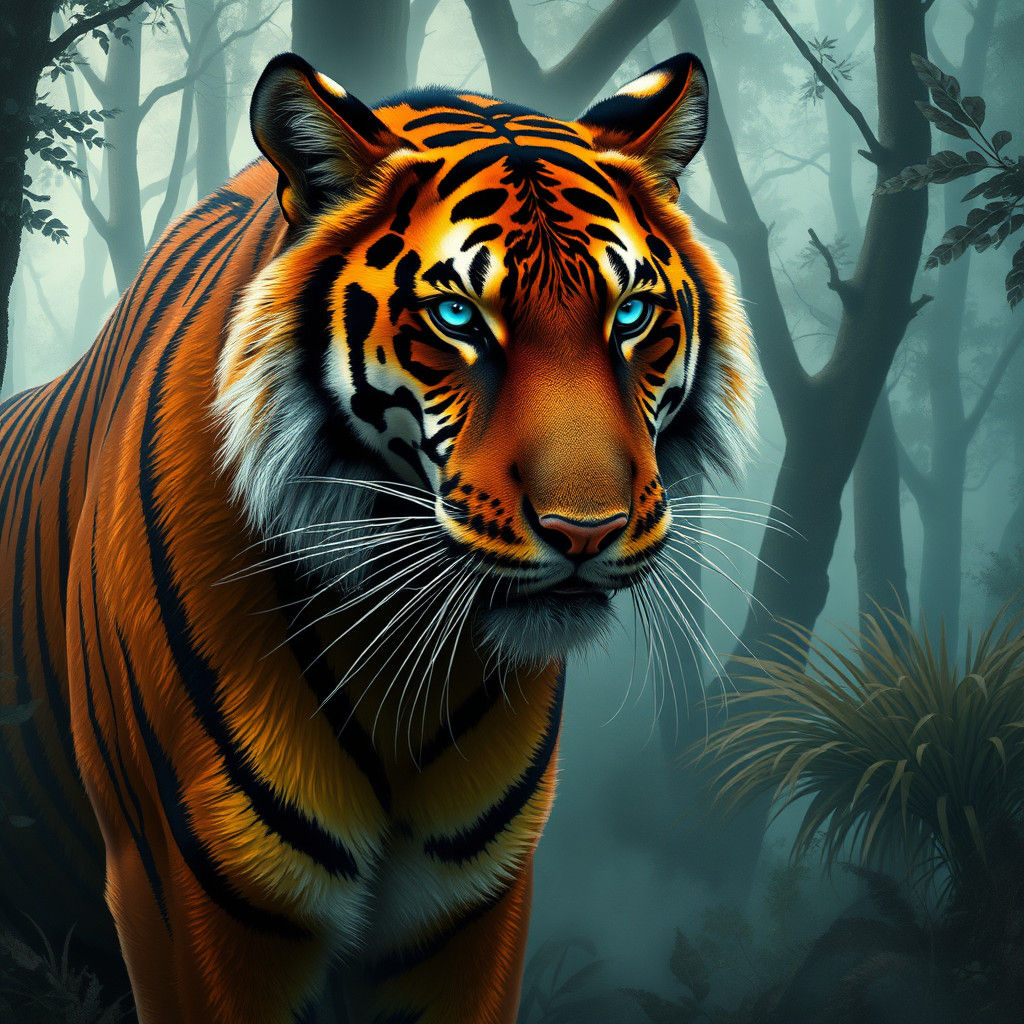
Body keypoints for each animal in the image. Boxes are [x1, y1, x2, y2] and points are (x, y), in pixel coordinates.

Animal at [0, 49, 756, 1023]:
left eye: (629, 315)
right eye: (459, 319)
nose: (587, 532)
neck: (400, 660)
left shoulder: (468, 906)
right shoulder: (189, 894)